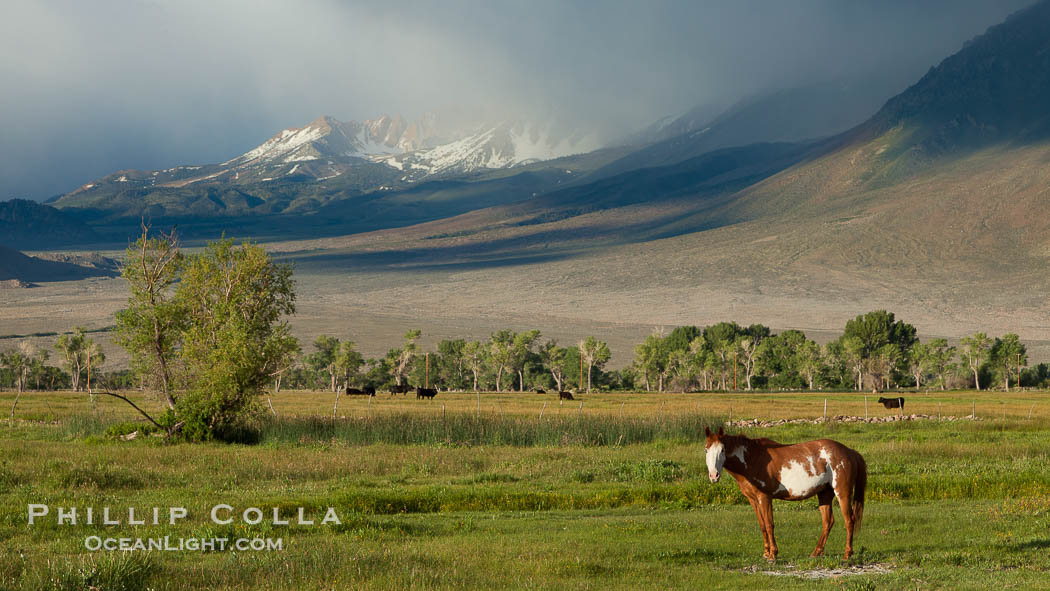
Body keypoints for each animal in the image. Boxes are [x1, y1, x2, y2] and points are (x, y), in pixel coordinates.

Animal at [704, 426, 867, 561]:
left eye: (722, 450)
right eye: (706, 450)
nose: (714, 475)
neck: (751, 459)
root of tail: (849, 452)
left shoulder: (765, 498)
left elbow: (769, 524)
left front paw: (773, 554)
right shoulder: (753, 500)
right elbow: (762, 525)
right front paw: (766, 553)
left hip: (842, 493)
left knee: (849, 520)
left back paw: (847, 554)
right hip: (824, 494)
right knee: (828, 521)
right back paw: (816, 552)